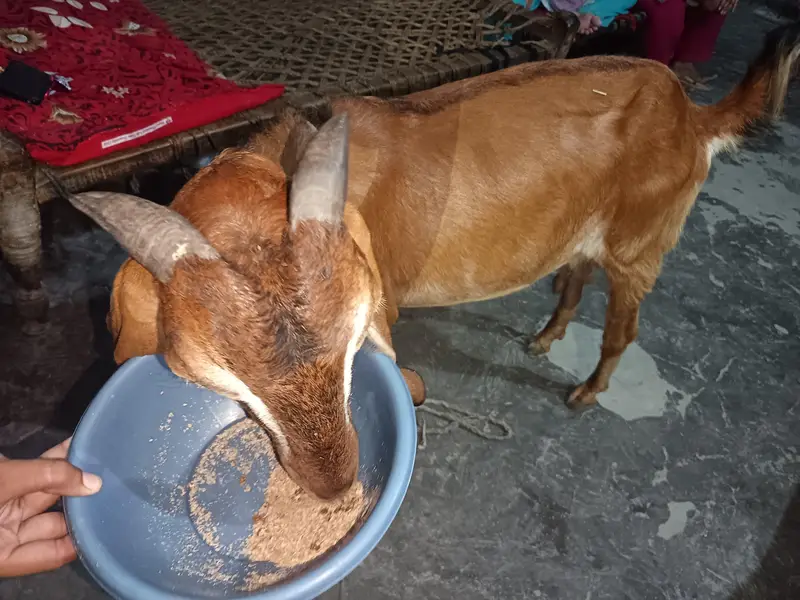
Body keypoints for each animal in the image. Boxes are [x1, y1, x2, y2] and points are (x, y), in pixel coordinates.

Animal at [66, 23, 800, 500]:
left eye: (351, 348)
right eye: (230, 382)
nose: (335, 488)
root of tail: (692, 115)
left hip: (640, 245)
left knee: (625, 324)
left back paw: (586, 390)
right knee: (576, 273)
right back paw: (546, 336)